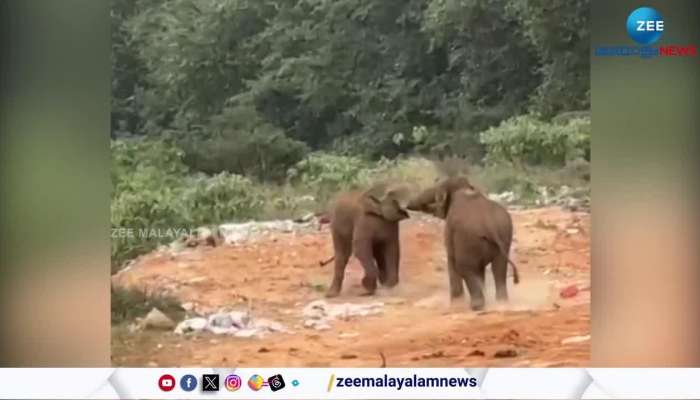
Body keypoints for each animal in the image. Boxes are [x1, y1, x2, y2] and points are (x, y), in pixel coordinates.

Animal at [406, 176, 520, 311]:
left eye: (438, 190)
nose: (406, 206)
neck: (464, 188)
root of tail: (489, 224)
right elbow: (480, 269)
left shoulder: (451, 230)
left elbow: (452, 260)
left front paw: (455, 304)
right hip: (503, 234)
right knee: (498, 268)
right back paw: (501, 303)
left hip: (468, 238)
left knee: (465, 267)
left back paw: (476, 306)